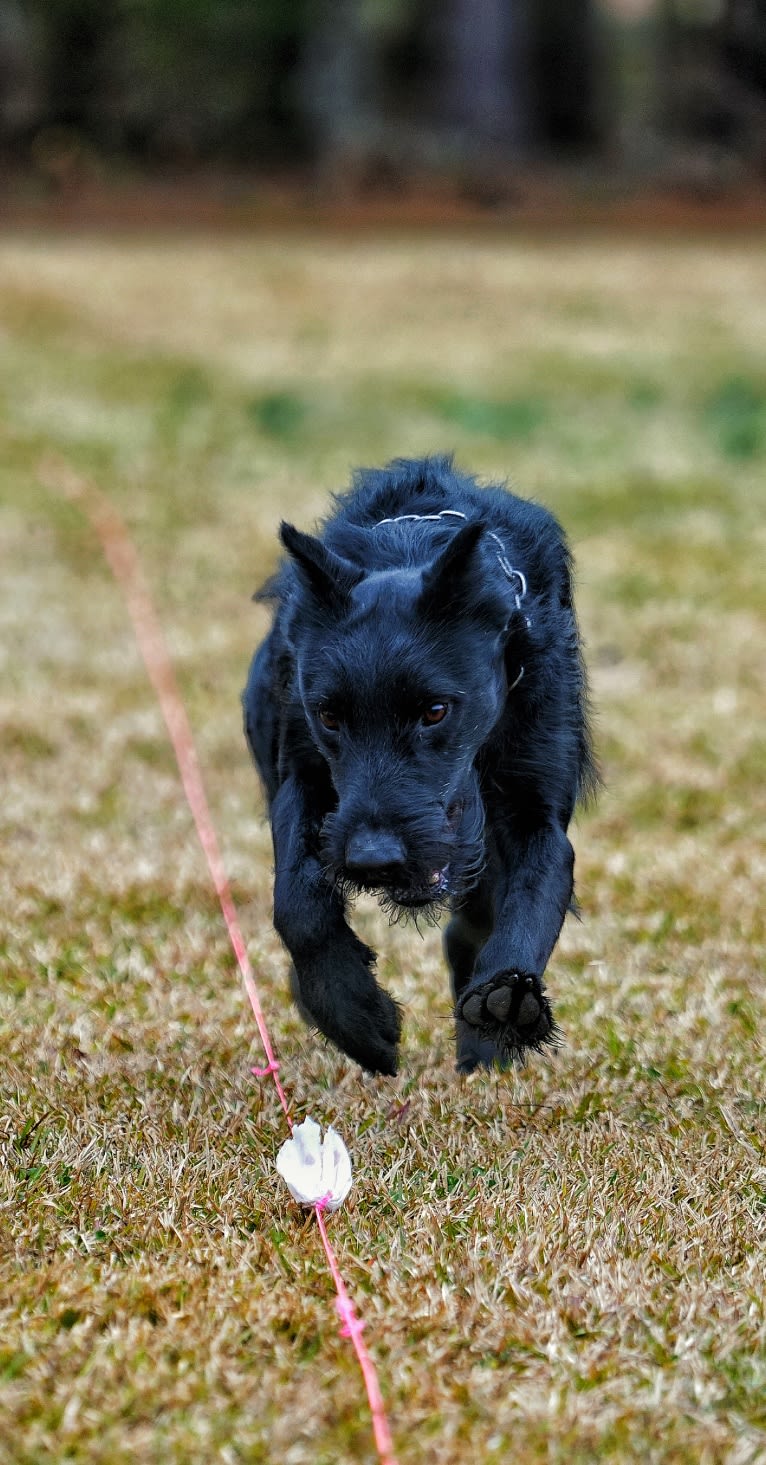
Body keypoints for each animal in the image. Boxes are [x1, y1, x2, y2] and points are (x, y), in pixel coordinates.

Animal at [243, 457, 597, 1078]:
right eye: (329, 715)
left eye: (435, 711)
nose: (374, 860)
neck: (408, 546)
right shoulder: (302, 782)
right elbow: (297, 902)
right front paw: (354, 1015)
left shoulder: (535, 812)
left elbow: (536, 894)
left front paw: (507, 1002)